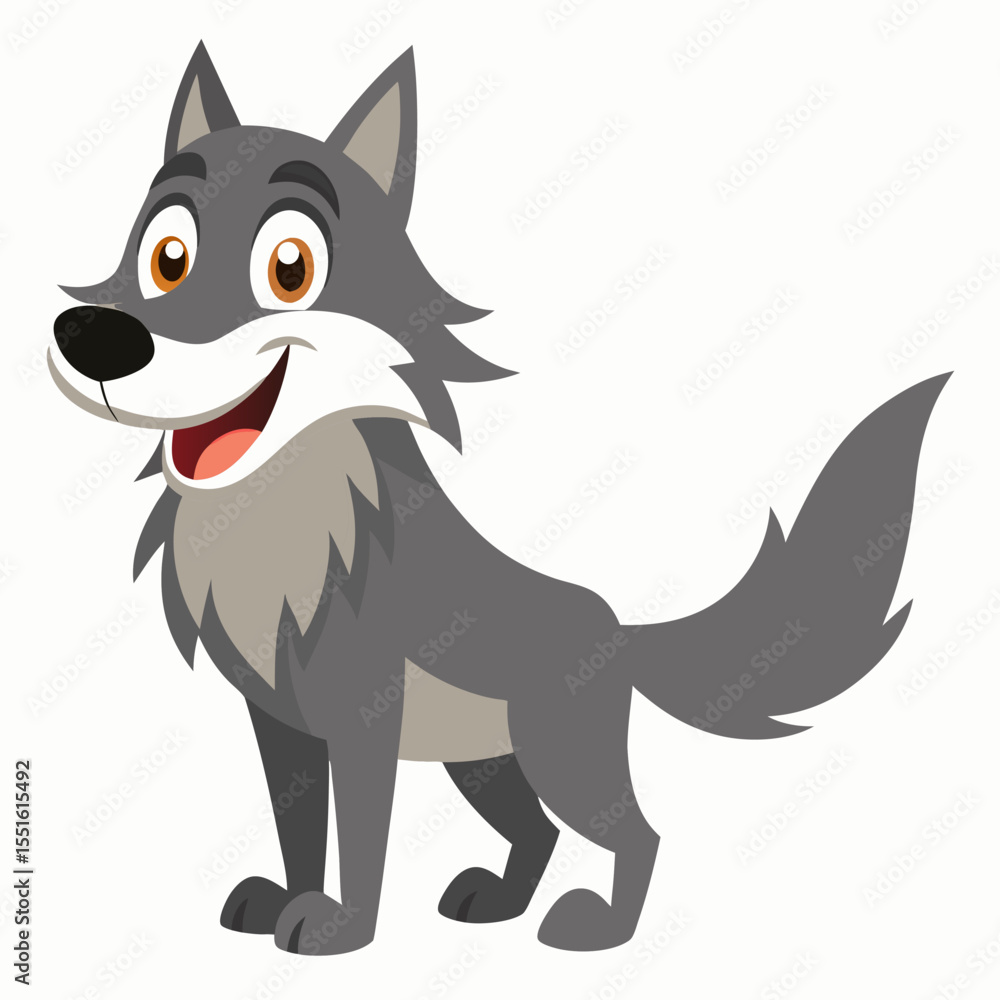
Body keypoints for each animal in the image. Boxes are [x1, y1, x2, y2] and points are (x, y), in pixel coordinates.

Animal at [49, 42, 949, 954]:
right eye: (166, 256)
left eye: (289, 268)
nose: (96, 337)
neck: (277, 529)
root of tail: (619, 635)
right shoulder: (281, 726)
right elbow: (298, 831)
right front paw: (284, 902)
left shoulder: (363, 720)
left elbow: (361, 840)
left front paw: (341, 930)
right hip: (483, 767)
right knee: (540, 833)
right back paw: (500, 902)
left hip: (560, 762)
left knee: (639, 834)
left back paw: (600, 929)